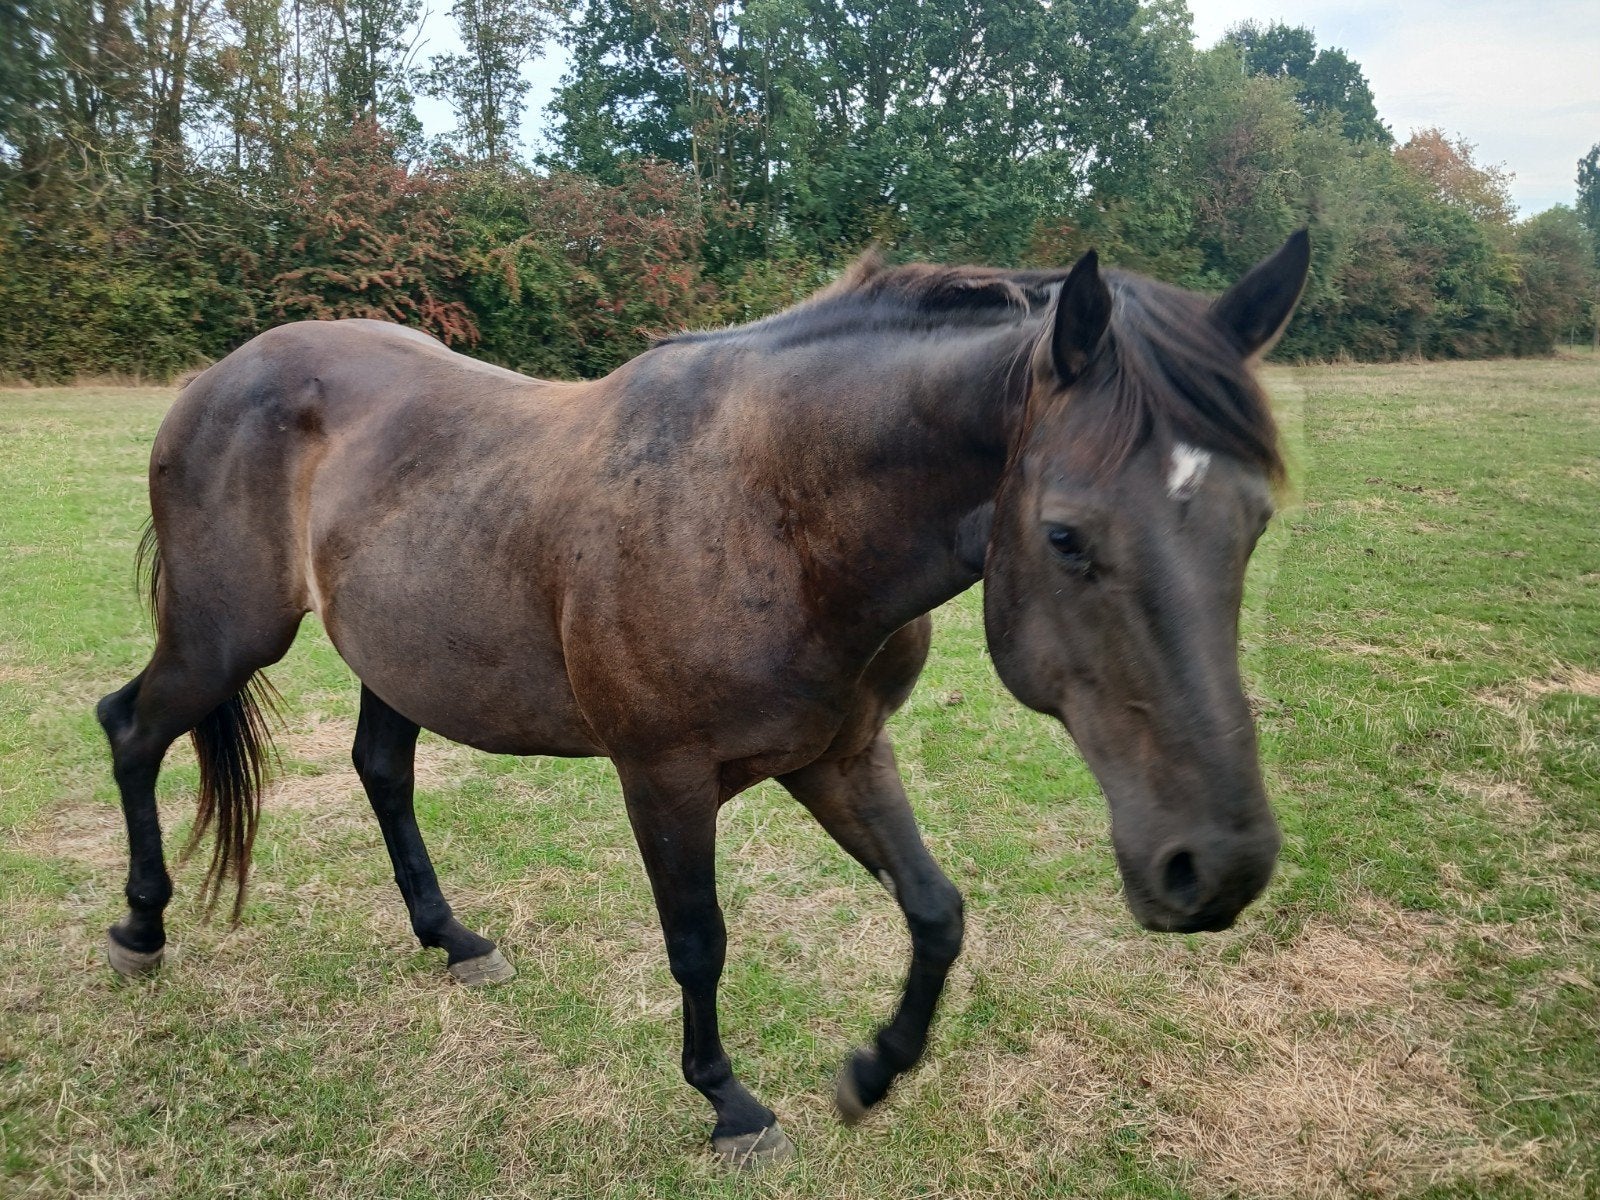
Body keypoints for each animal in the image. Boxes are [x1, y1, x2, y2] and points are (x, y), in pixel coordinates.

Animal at [97, 231, 1309, 1167]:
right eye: (1065, 536)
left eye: (1254, 521)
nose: (1216, 868)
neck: (774, 508)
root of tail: (217, 379)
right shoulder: (665, 778)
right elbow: (699, 941)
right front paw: (729, 1104)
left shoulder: (841, 755)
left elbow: (936, 911)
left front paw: (873, 1071)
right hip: (223, 638)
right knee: (131, 729)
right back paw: (142, 928)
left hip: (397, 654)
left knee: (381, 773)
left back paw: (452, 937)